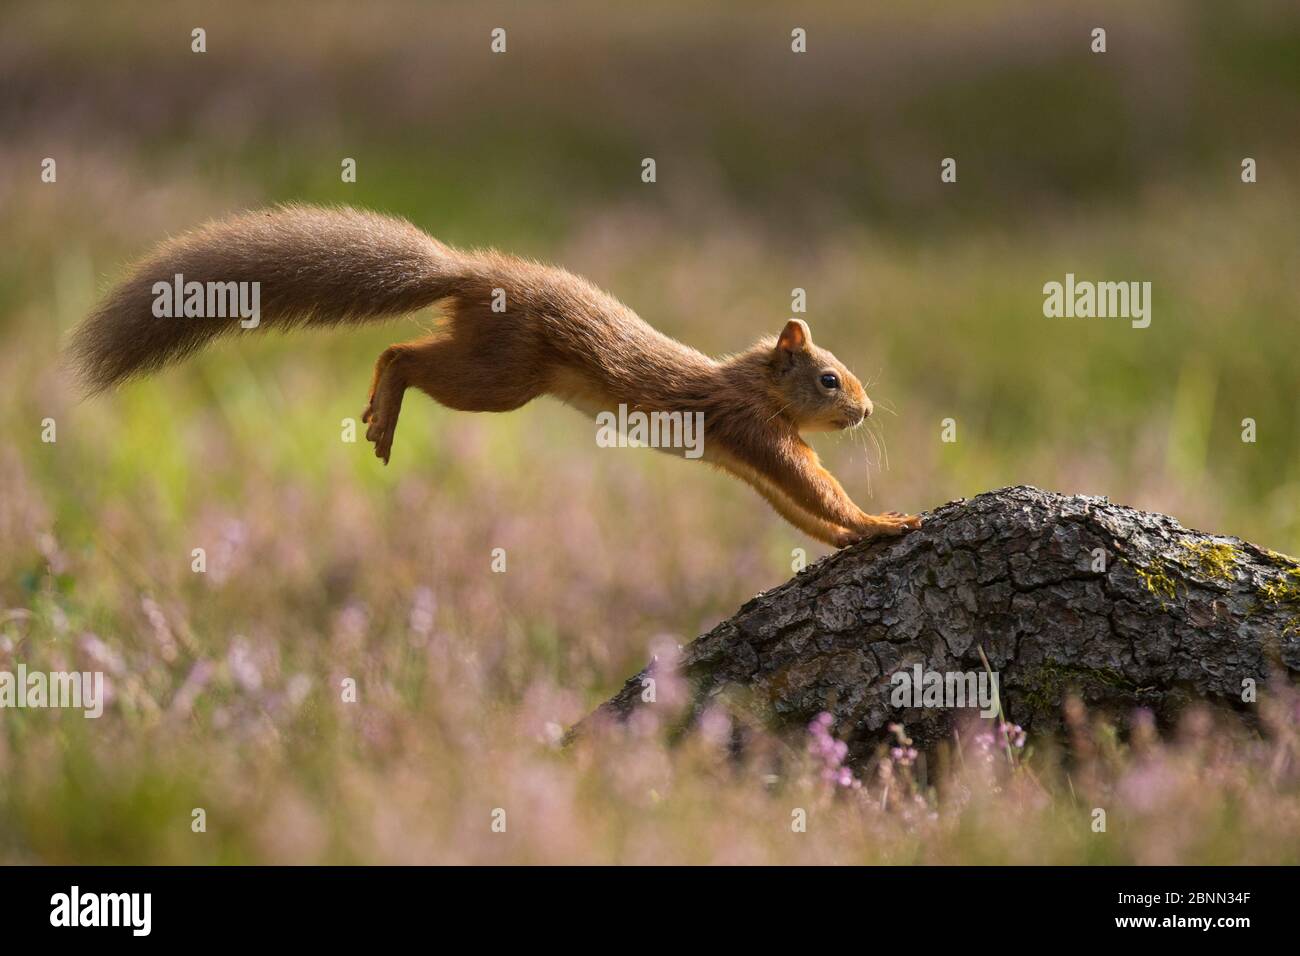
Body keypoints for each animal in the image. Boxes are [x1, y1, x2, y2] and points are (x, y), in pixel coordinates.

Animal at [68, 204, 925, 546]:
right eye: (829, 380)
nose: (867, 410)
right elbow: (820, 489)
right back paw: (384, 411)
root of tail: (474, 272)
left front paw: (846, 538)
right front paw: (885, 522)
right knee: (402, 356)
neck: (753, 382)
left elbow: (800, 510)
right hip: (501, 376)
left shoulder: (751, 463)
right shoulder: (757, 432)